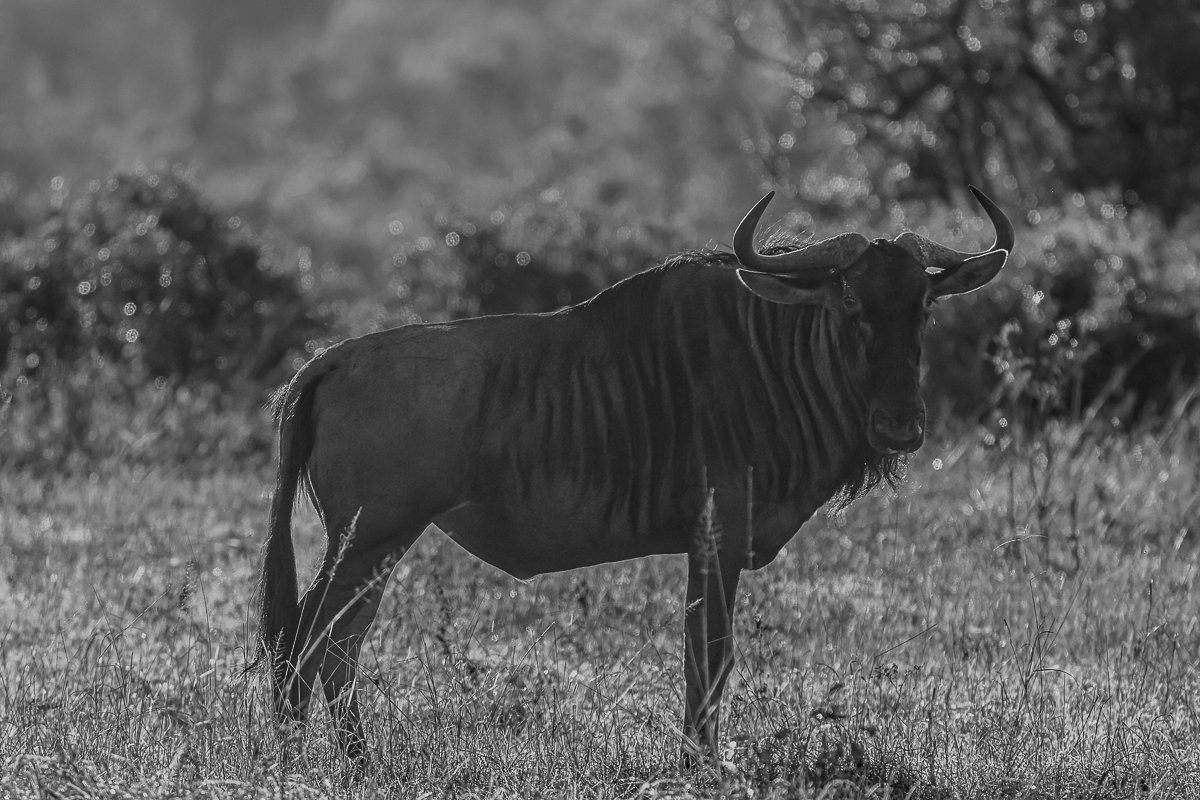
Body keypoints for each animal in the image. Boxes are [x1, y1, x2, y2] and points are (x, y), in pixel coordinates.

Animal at [254, 186, 1014, 768]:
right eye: (851, 302)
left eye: (924, 306)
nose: (900, 427)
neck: (771, 354)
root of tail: (332, 358)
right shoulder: (715, 541)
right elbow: (708, 660)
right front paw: (700, 767)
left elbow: (706, 662)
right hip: (369, 539)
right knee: (304, 643)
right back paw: (296, 764)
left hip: (377, 547)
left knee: (337, 647)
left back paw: (358, 764)